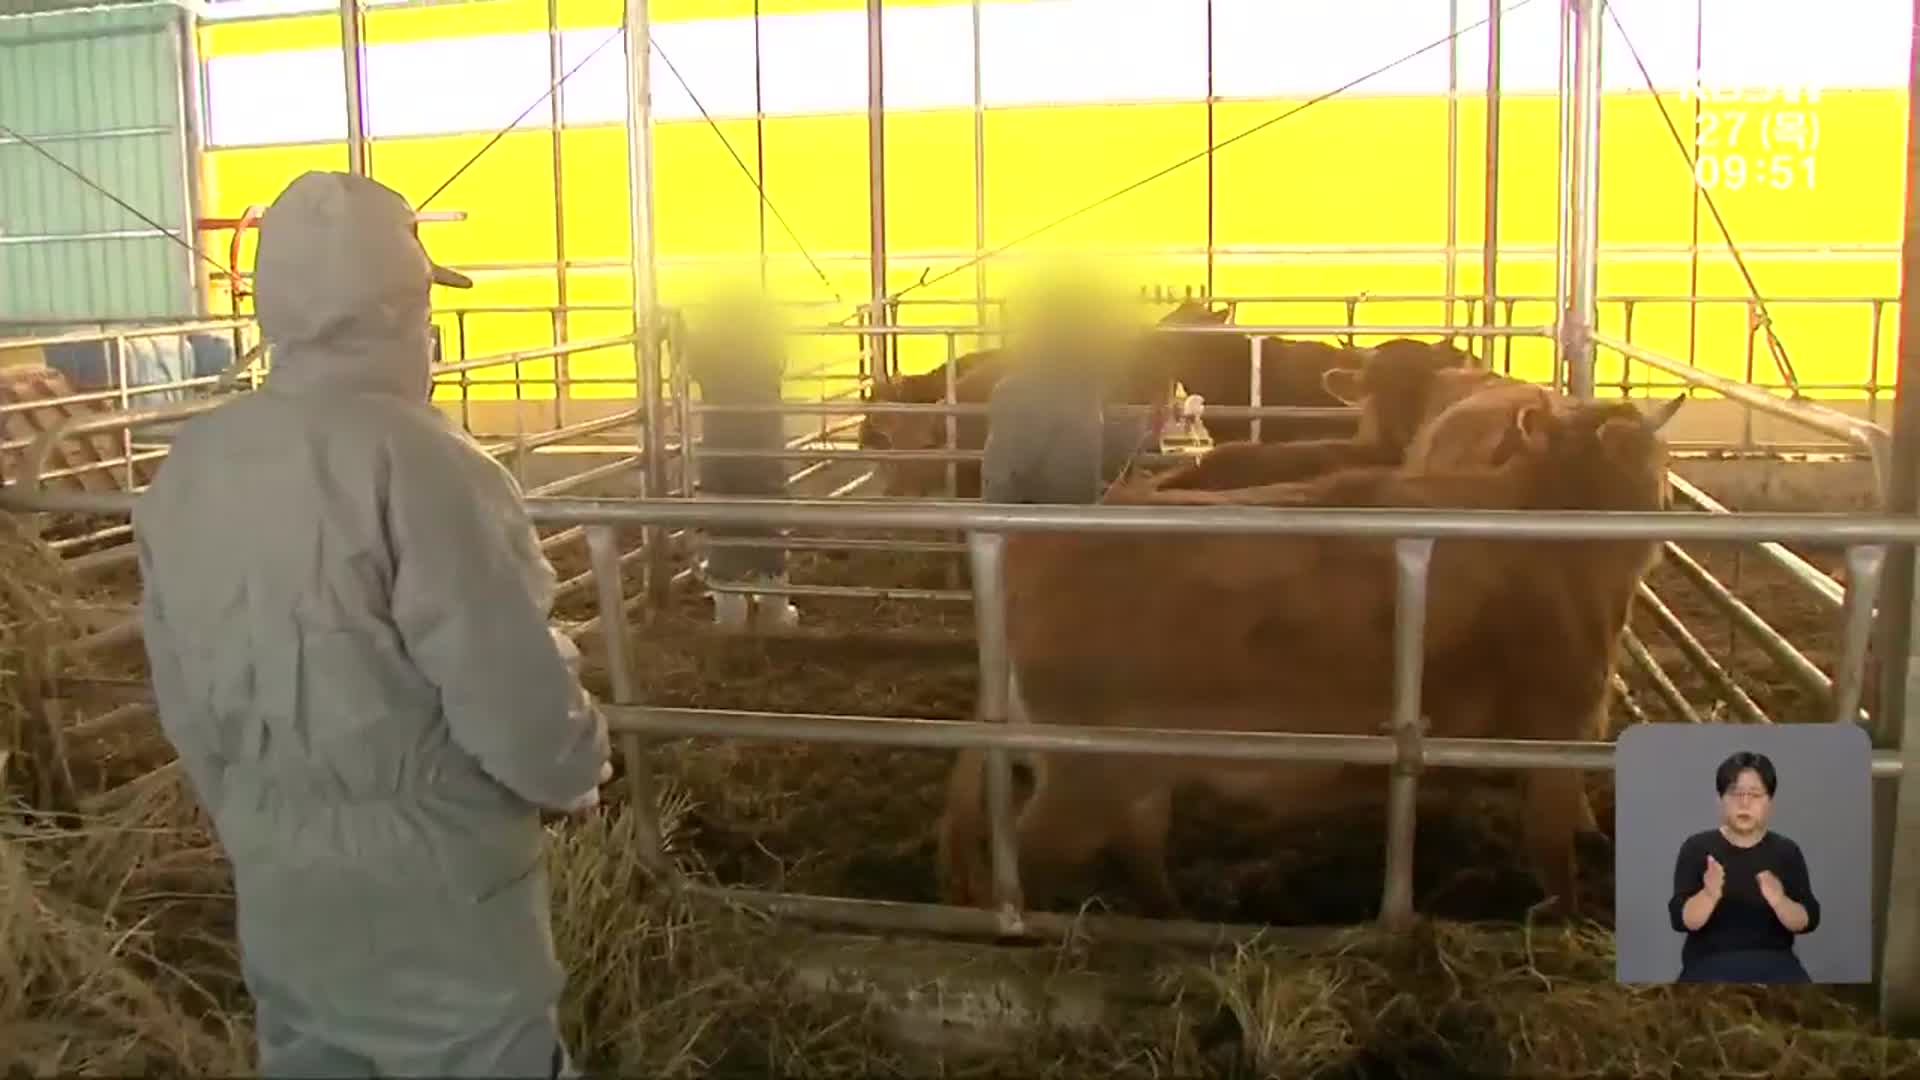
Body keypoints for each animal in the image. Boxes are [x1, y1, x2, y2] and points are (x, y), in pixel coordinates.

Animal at [940, 386, 1681, 914]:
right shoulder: (1562, 719)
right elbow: (1553, 848)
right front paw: (1570, 919)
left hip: (1135, 769)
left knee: (1139, 845)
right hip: (1085, 773)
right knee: (1030, 861)